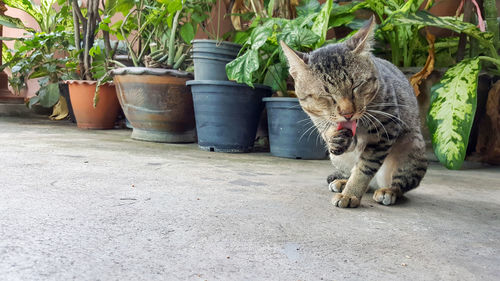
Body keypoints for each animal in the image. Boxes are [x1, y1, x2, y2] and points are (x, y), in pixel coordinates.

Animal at [282, 17, 426, 206]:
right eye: (326, 95)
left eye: (356, 86)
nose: (347, 113)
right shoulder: (318, 119)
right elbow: (329, 131)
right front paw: (334, 137)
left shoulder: (385, 131)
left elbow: (364, 169)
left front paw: (351, 194)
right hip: (336, 159)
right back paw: (342, 181)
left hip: (412, 145)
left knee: (399, 184)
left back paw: (388, 191)